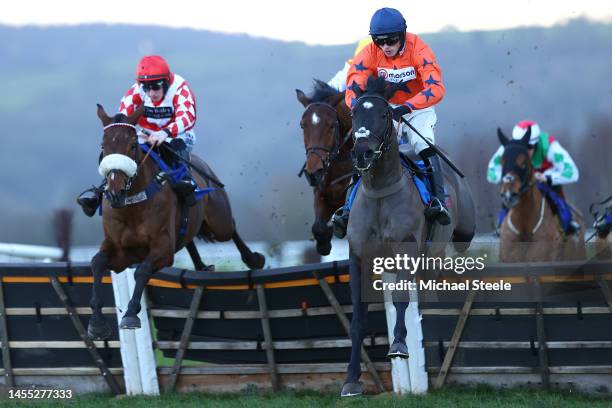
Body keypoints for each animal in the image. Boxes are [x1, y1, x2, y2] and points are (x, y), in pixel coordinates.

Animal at [86, 104, 266, 338]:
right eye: (103, 145)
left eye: (132, 145)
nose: (115, 192)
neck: (133, 206)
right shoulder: (121, 251)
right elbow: (97, 262)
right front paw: (97, 322)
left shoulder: (162, 248)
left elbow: (142, 270)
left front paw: (131, 314)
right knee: (188, 240)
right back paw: (202, 266)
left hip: (219, 222)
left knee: (231, 228)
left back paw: (253, 259)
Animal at [296, 79, 354, 255]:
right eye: (302, 125)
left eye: (331, 126)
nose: (313, 173)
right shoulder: (322, 193)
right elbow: (318, 227)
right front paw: (324, 242)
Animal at [340, 75, 478, 396]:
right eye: (353, 114)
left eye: (384, 114)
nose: (362, 152)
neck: (380, 189)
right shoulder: (359, 256)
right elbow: (358, 317)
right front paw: (351, 380)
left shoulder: (406, 249)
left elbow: (402, 298)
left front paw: (400, 345)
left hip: (461, 233)